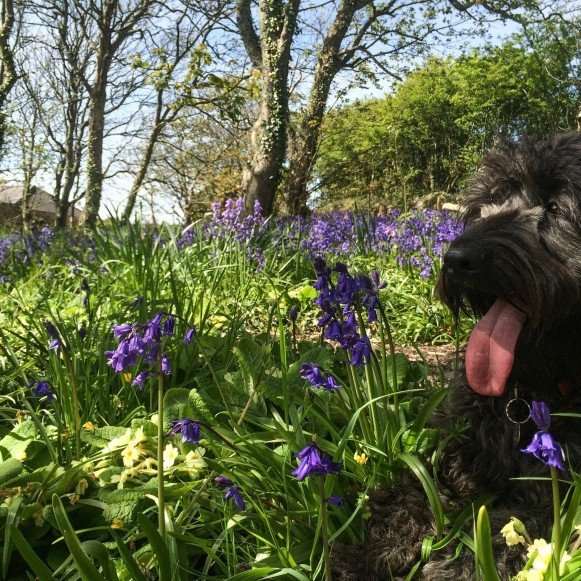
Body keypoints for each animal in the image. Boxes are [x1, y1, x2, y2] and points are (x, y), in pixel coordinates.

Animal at [330, 133, 580, 580]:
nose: (457, 259)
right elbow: (410, 490)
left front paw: (453, 564)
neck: (526, 394)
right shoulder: (451, 446)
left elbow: (502, 528)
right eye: (487, 204)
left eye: (554, 207)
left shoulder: (555, 490)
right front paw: (366, 555)